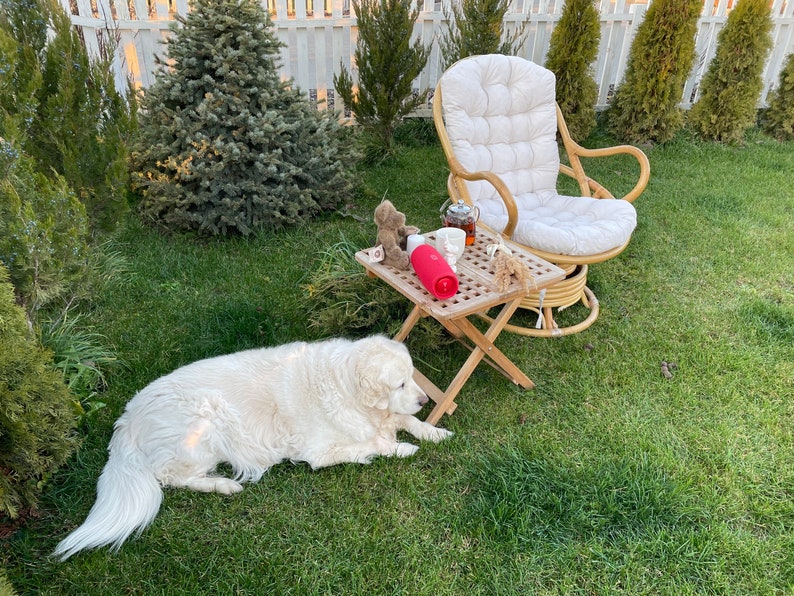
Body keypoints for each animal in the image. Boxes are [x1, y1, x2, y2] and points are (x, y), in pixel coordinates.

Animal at [52, 338, 452, 560]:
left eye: (413, 376)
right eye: (399, 383)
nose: (423, 400)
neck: (347, 388)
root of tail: (128, 418)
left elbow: (405, 422)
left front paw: (435, 431)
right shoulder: (318, 452)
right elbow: (375, 443)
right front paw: (402, 449)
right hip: (207, 422)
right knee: (171, 477)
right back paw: (224, 485)